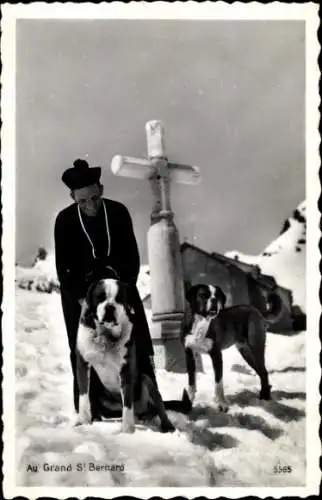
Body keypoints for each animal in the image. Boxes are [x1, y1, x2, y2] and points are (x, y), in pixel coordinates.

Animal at [75, 280, 191, 432]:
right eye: (100, 297)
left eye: (119, 298)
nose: (110, 307)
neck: (106, 334)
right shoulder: (83, 364)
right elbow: (84, 396)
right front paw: (83, 421)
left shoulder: (126, 370)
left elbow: (128, 403)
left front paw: (127, 430)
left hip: (147, 380)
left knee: (159, 407)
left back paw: (167, 426)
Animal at [184, 284, 272, 412]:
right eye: (204, 295)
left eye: (217, 295)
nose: (214, 300)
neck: (201, 322)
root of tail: (255, 310)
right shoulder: (189, 355)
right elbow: (191, 382)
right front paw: (189, 402)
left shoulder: (216, 355)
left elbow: (218, 383)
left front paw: (222, 404)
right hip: (246, 353)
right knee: (261, 372)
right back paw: (265, 393)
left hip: (256, 348)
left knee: (264, 372)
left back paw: (265, 396)